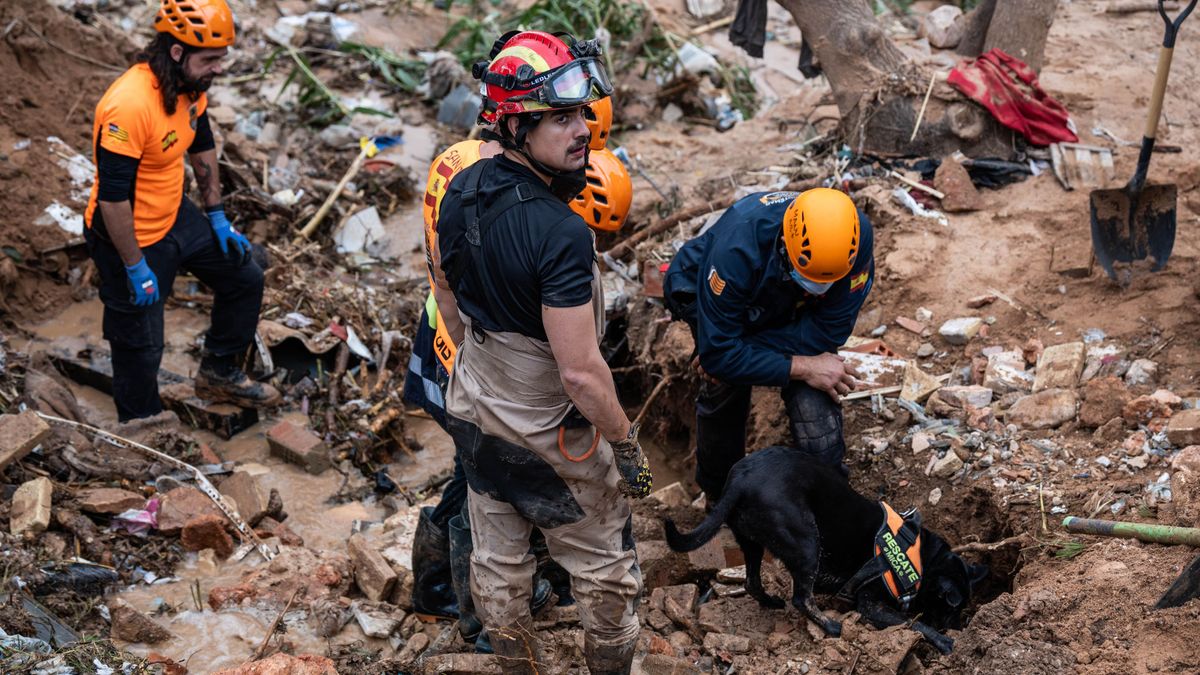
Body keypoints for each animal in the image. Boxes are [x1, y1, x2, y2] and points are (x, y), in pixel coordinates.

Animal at [667, 446, 984, 653]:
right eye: (950, 609)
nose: (958, 627)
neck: (919, 556)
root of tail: (740, 480)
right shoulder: (870, 604)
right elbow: (910, 623)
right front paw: (942, 640)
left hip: (753, 542)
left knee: (753, 582)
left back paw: (771, 602)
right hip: (807, 540)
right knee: (800, 598)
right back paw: (831, 627)